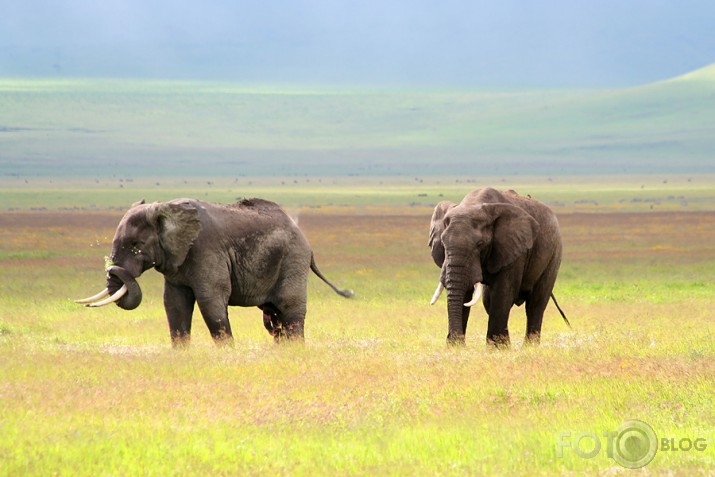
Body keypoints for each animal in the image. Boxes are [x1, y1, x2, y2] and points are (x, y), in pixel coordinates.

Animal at [77, 197, 356, 346]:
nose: (113, 268)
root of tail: (307, 243)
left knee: (290, 310)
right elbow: (175, 304)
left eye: (136, 245)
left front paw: (228, 355)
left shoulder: (205, 249)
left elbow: (211, 301)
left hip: (293, 260)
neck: (168, 209)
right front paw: (181, 355)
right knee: (273, 318)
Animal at [430, 186, 572, 346]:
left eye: (480, 244)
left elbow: (502, 292)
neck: (473, 204)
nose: (458, 343)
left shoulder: (514, 249)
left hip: (554, 253)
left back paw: (529, 347)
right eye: (443, 243)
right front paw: (456, 347)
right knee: (489, 301)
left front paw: (498, 348)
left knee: (536, 304)